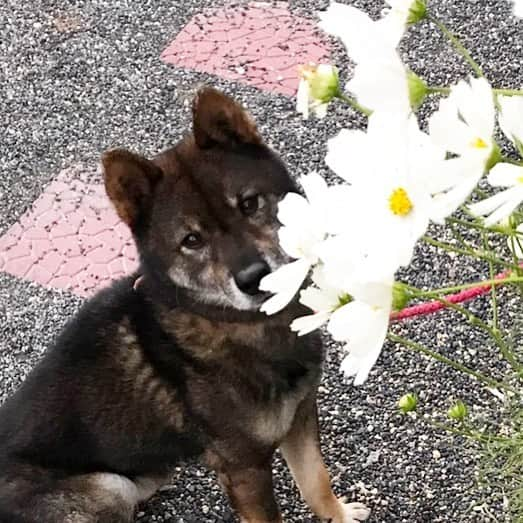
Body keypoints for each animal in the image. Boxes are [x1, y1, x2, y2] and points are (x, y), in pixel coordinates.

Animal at [0, 88, 370, 520]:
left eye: (248, 204)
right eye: (191, 240)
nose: (253, 277)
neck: (234, 324)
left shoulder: (300, 417)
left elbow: (315, 480)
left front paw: (337, 514)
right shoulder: (244, 466)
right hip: (106, 487)